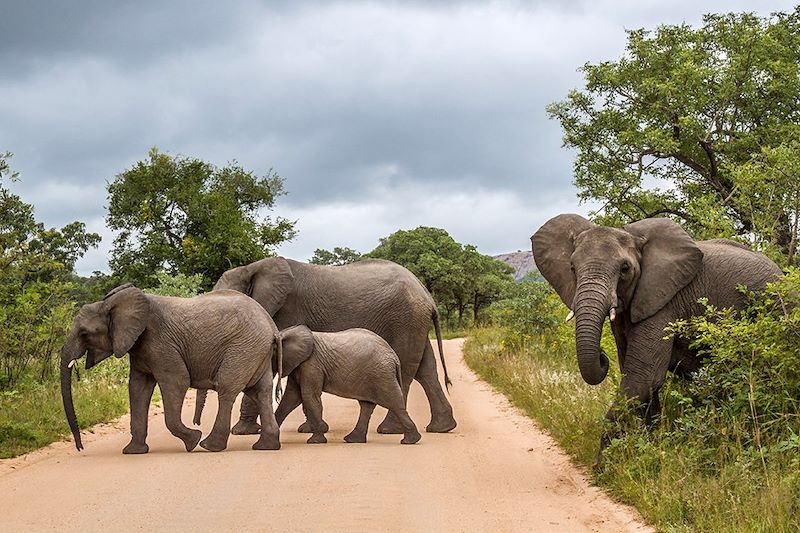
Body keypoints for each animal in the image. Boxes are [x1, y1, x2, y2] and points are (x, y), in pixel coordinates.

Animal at [61, 282, 282, 454]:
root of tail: (272, 326)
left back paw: (209, 446)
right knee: (261, 391)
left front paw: (192, 440)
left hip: (243, 348)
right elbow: (137, 388)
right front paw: (133, 452)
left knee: (227, 389)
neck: (113, 304)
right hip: (256, 352)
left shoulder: (161, 343)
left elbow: (177, 381)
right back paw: (265, 446)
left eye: (84, 333)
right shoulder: (140, 348)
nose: (80, 448)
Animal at [276, 324, 422, 444]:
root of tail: (394, 356)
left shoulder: (312, 364)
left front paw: (315, 441)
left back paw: (410, 441)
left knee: (393, 402)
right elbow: (291, 397)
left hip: (382, 374)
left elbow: (308, 396)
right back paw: (353, 439)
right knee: (367, 405)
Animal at [532, 214, 780, 460]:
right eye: (572, 268)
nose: (602, 357)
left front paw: (603, 464)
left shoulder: (663, 301)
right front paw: (649, 448)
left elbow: (643, 378)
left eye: (625, 268)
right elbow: (639, 381)